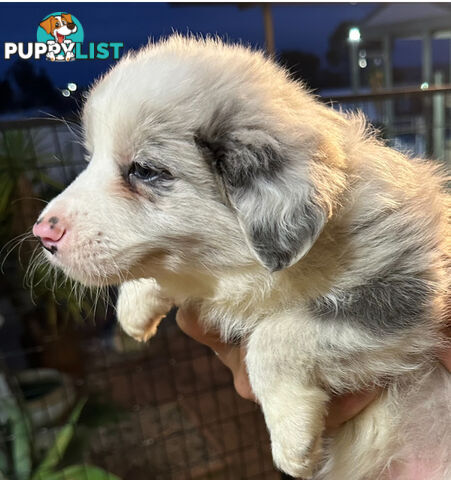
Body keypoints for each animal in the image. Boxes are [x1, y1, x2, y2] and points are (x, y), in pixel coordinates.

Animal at [33, 35, 450, 478]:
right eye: (91, 158)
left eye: (144, 170)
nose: (41, 233)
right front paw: (135, 310)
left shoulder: (406, 292)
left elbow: (273, 336)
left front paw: (293, 441)